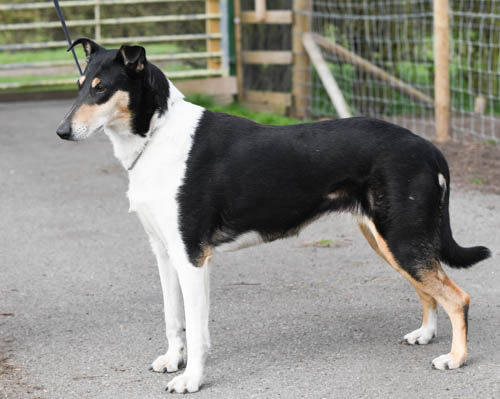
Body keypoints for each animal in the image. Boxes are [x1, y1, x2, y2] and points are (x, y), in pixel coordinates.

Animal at [56, 39, 490, 396]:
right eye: (80, 84)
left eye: (101, 88)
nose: (61, 131)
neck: (157, 136)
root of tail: (430, 147)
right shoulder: (166, 253)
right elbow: (174, 317)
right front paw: (173, 360)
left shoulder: (191, 256)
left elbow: (195, 327)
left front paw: (191, 379)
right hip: (389, 239)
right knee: (428, 289)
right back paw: (426, 335)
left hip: (401, 238)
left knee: (457, 296)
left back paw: (455, 358)